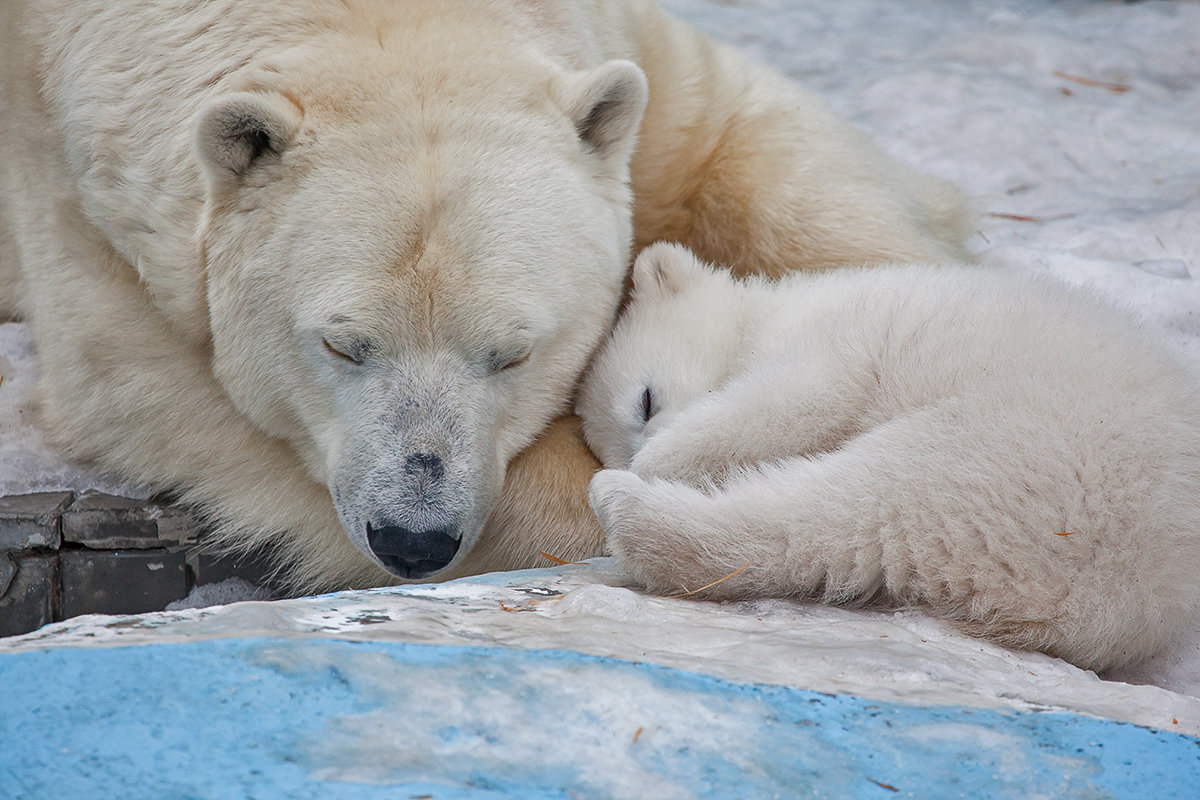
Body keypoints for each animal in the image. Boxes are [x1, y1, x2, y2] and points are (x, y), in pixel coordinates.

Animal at [0, 3, 964, 592]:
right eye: (341, 344)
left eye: (514, 351)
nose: (413, 537)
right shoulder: (83, 198)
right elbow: (152, 376)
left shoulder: (634, 57)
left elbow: (735, 142)